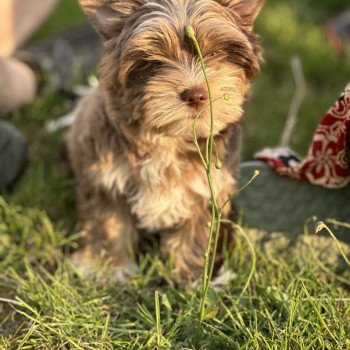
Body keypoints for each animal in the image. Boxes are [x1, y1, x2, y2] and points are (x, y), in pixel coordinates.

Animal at [65, 0, 264, 280]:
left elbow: (195, 235)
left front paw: (194, 277)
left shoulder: (205, 189)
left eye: (214, 53)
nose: (195, 95)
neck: (168, 138)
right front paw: (110, 267)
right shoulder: (105, 180)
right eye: (155, 61)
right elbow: (109, 222)